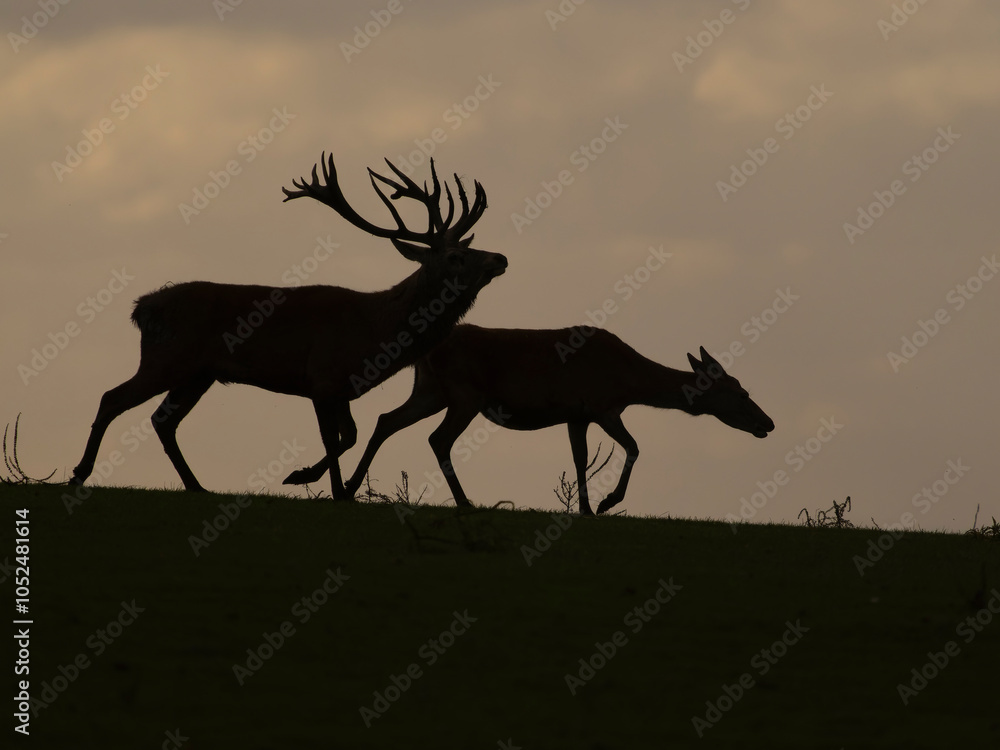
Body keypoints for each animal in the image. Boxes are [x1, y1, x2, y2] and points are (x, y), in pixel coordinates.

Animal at [69, 154, 507, 500]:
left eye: (468, 248)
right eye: (454, 257)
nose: (500, 258)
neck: (375, 332)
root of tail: (142, 307)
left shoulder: (342, 387)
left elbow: (349, 435)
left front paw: (312, 480)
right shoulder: (322, 377)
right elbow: (333, 437)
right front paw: (321, 486)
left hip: (198, 373)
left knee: (163, 420)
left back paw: (196, 486)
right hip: (168, 358)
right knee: (112, 397)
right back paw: (80, 473)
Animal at [283, 323, 775, 515]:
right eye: (740, 392)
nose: (767, 424)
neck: (628, 380)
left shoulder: (578, 415)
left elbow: (579, 460)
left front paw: (586, 509)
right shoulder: (602, 406)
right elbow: (636, 446)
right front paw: (608, 502)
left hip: (430, 390)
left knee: (386, 420)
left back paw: (337, 485)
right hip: (465, 394)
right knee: (437, 440)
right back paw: (465, 502)